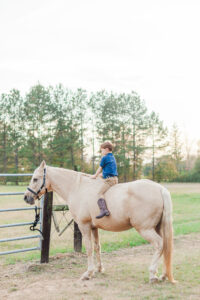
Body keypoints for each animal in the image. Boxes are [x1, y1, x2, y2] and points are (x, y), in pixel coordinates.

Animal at [23, 161, 174, 282]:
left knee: (159, 244)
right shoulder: (94, 227)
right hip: (157, 227)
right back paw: (164, 275)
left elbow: (89, 249)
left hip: (145, 229)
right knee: (165, 246)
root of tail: (160, 188)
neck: (78, 188)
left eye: (35, 179)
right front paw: (99, 269)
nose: (26, 197)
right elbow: (97, 247)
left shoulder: (84, 226)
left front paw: (88, 273)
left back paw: (152, 274)